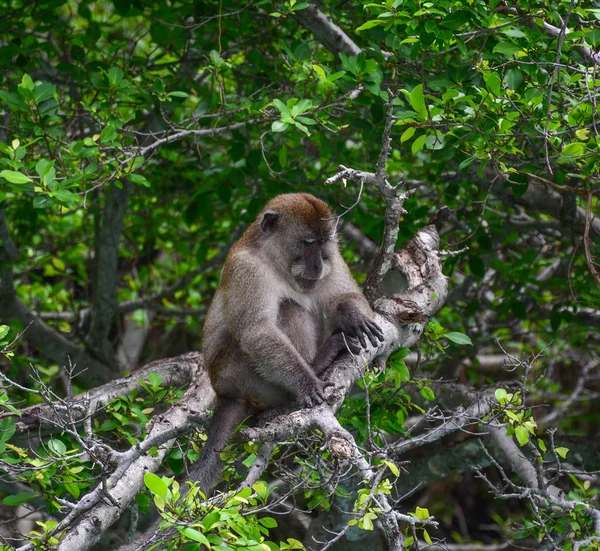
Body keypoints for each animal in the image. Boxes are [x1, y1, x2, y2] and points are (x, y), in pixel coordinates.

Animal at [192, 193, 384, 492]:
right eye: (308, 242)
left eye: (323, 243)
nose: (318, 265)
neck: (277, 262)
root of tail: (226, 393)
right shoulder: (248, 269)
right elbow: (258, 332)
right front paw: (308, 384)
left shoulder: (334, 258)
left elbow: (344, 295)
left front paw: (354, 317)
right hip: (240, 374)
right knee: (290, 309)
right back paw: (318, 364)